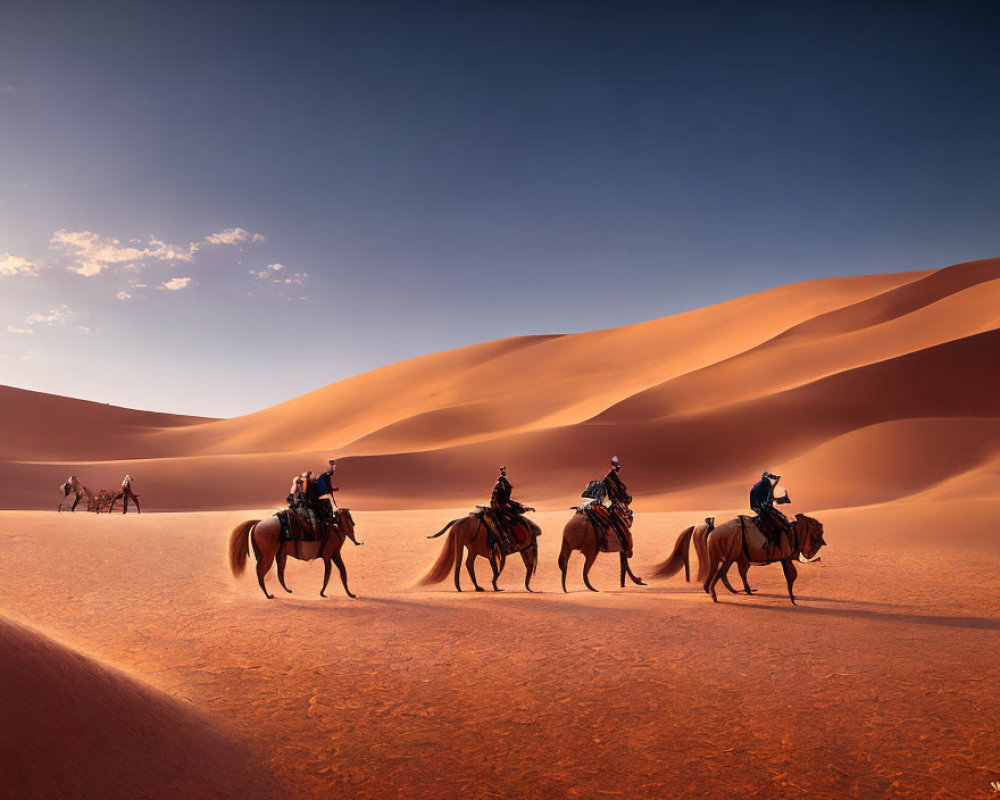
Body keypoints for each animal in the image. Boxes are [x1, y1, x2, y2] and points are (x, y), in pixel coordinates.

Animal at [228, 510, 364, 596]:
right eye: (347, 517)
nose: (353, 524)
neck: (334, 528)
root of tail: (258, 523)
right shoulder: (328, 556)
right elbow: (328, 574)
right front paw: (322, 593)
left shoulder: (335, 554)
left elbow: (342, 571)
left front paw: (350, 594)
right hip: (268, 556)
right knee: (261, 573)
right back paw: (268, 595)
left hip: (278, 555)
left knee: (278, 573)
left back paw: (286, 590)